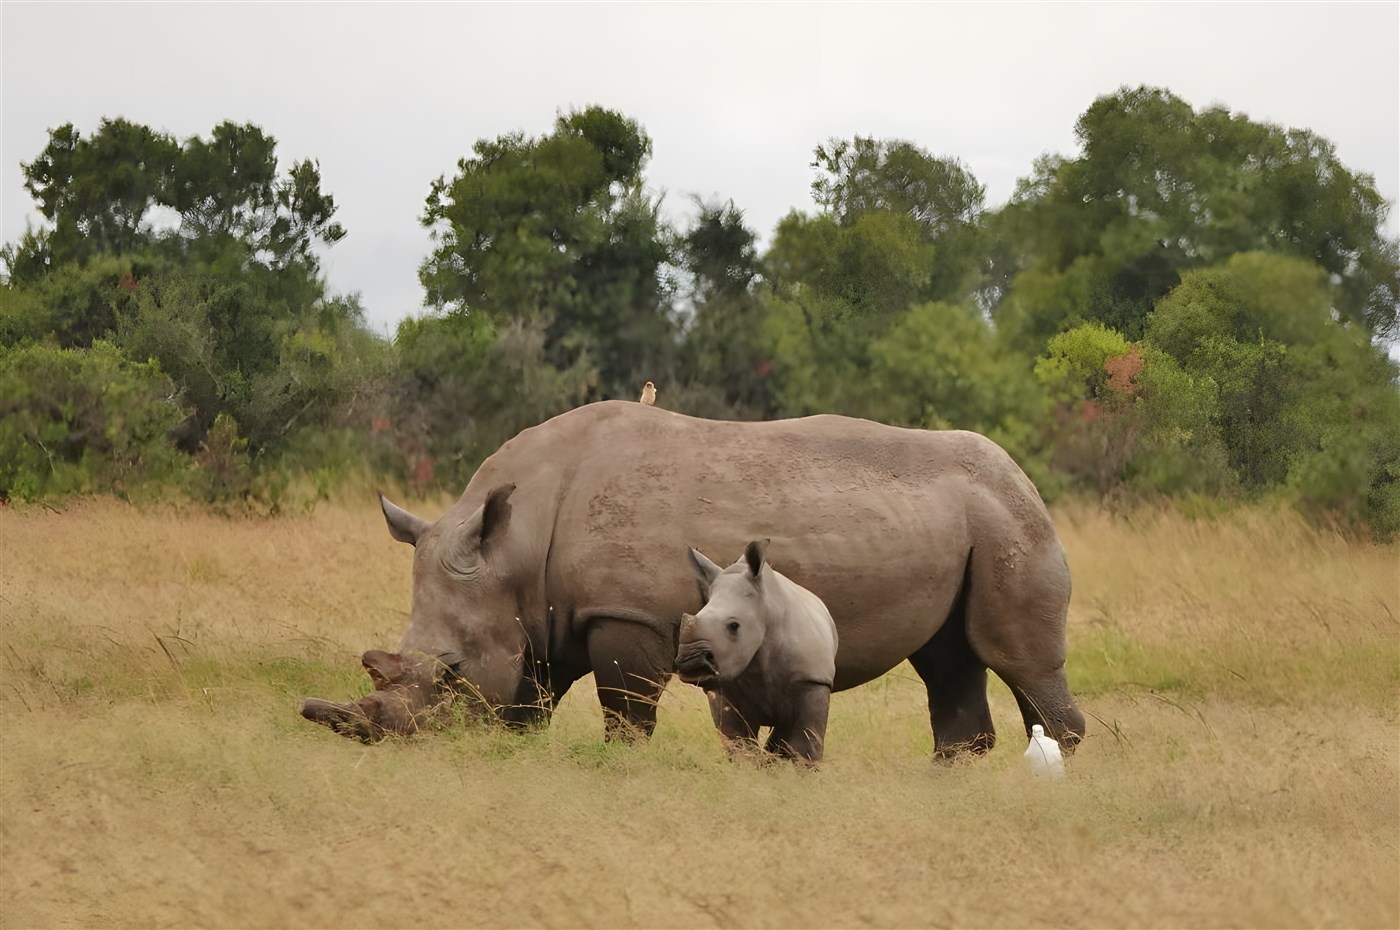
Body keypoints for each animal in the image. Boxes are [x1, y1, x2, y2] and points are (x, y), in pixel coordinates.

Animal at [678, 540, 839, 763]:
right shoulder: (723, 687)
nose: (690, 662)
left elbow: (805, 745)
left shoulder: (813, 680)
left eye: (734, 626)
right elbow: (739, 742)